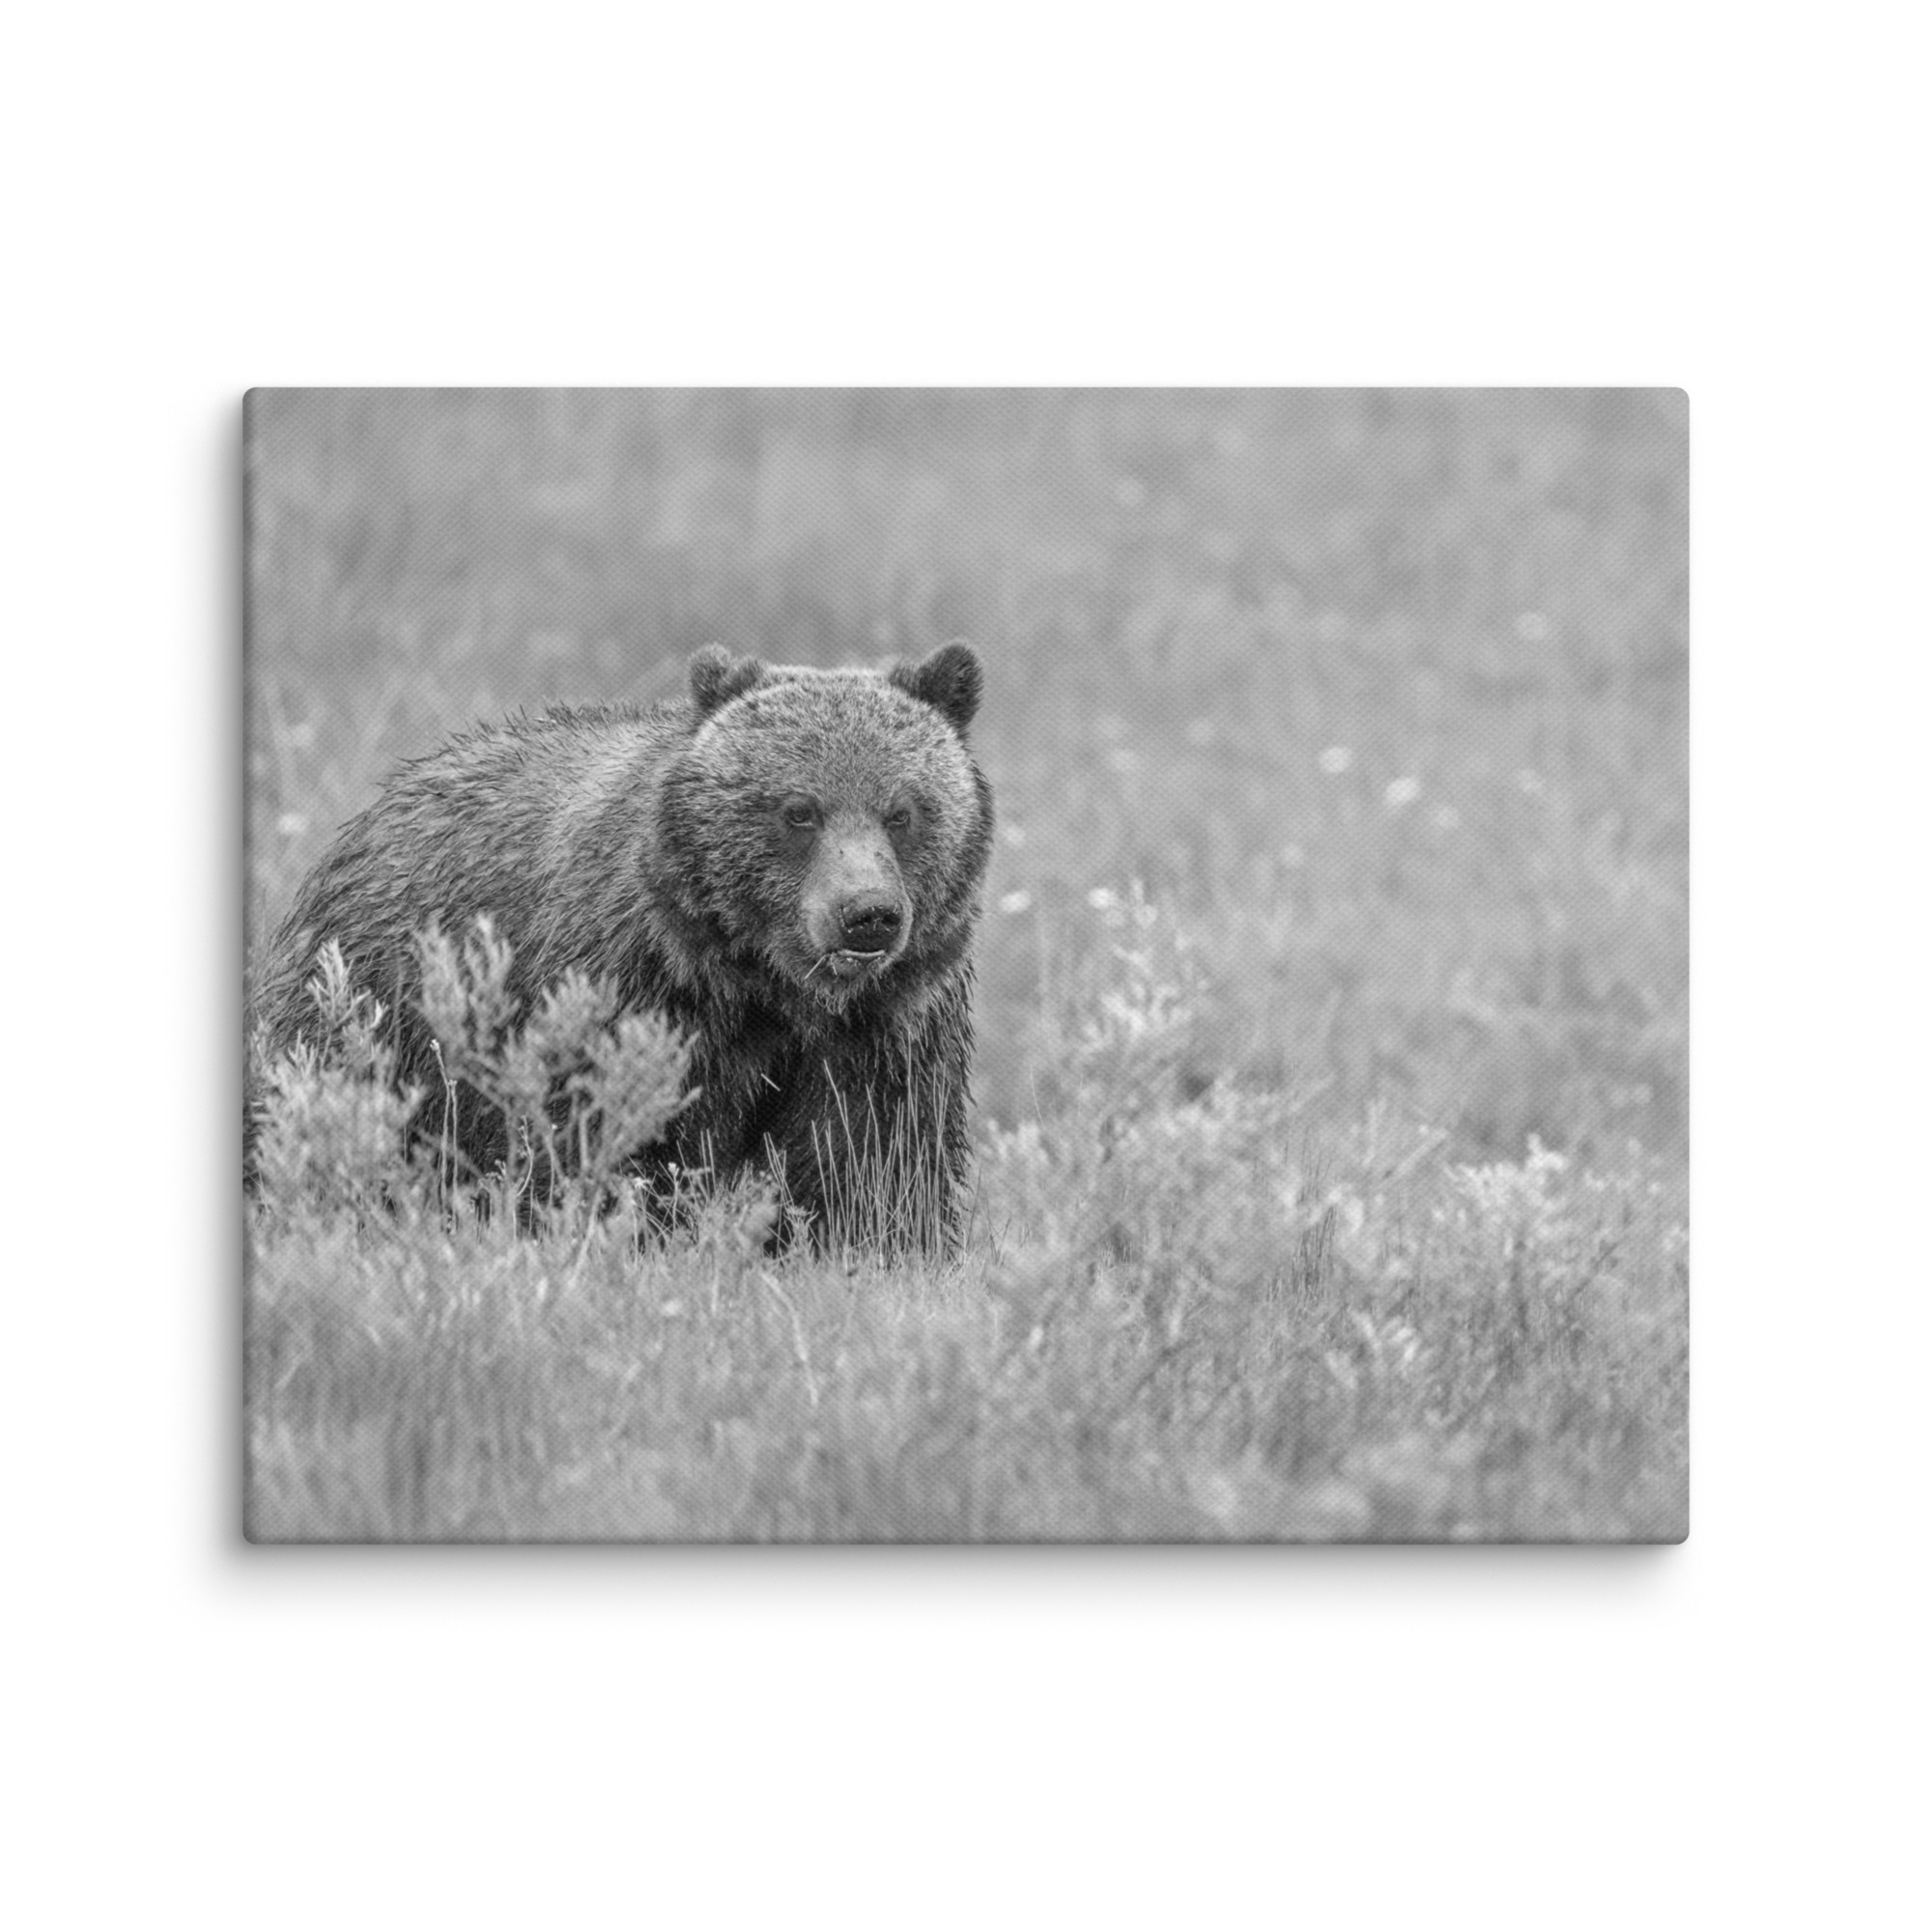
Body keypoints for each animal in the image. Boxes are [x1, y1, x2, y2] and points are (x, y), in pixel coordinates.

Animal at [250, 641, 993, 1253]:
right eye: (798, 810)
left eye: (902, 810)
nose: (867, 915)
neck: (766, 986)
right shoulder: (633, 990)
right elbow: (609, 1138)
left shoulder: (887, 1026)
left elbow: (874, 1164)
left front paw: (876, 1251)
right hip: (379, 1007)